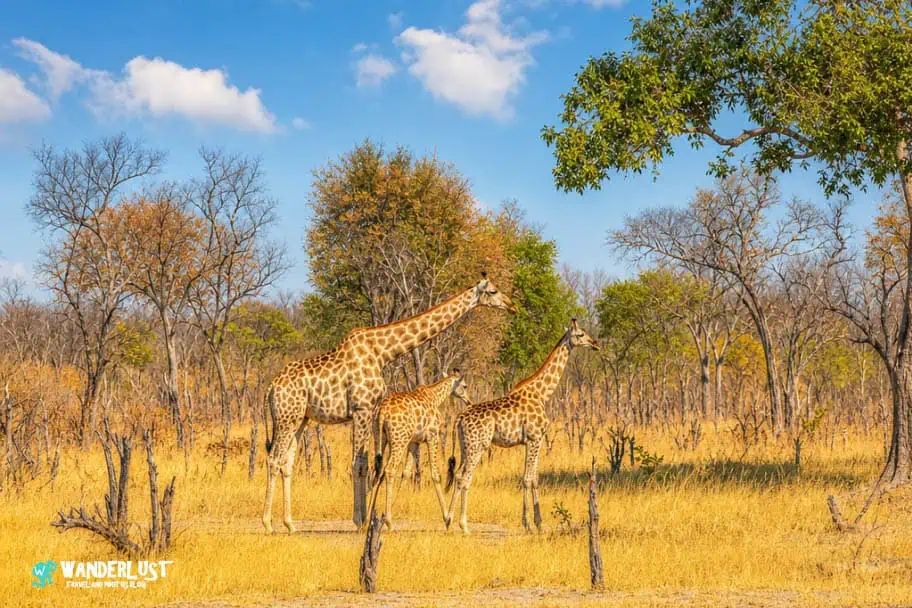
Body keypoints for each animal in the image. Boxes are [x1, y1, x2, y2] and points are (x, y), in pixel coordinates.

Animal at [371, 370, 470, 530]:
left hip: (380, 437)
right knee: (390, 470)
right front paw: (446, 518)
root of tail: (382, 410)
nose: (469, 401)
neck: (435, 397)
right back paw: (389, 522)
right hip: (399, 440)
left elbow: (406, 472)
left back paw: (367, 517)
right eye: (465, 386)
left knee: (377, 469)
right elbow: (435, 475)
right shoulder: (432, 436)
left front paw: (392, 505)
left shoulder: (414, 441)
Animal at [444, 319, 600, 534]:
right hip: (478, 446)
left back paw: (449, 520)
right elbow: (526, 478)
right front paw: (527, 525)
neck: (542, 393)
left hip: (465, 446)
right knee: (464, 477)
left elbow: (534, 478)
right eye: (580, 334)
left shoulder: (536, 440)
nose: (595, 344)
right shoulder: (534, 438)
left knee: (459, 475)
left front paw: (539, 523)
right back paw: (462, 524)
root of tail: (458, 419)